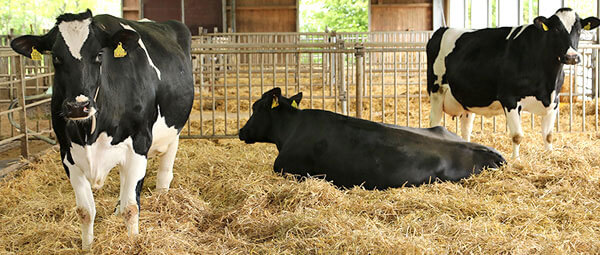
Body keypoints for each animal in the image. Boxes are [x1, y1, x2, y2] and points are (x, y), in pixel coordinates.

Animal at [10, 10, 193, 249]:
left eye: (98, 55)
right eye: (56, 57)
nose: (78, 106)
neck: (90, 132)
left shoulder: (138, 144)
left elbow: (131, 208)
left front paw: (132, 243)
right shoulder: (68, 154)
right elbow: (85, 211)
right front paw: (87, 247)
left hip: (174, 132)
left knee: (164, 174)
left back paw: (162, 197)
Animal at [426, 8, 600, 157]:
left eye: (579, 30)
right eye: (556, 29)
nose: (572, 57)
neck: (547, 81)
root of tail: (442, 29)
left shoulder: (554, 101)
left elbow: (548, 135)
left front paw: (549, 155)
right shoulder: (509, 99)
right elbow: (517, 136)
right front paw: (516, 161)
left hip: (467, 99)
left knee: (466, 129)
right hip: (436, 91)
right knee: (435, 123)